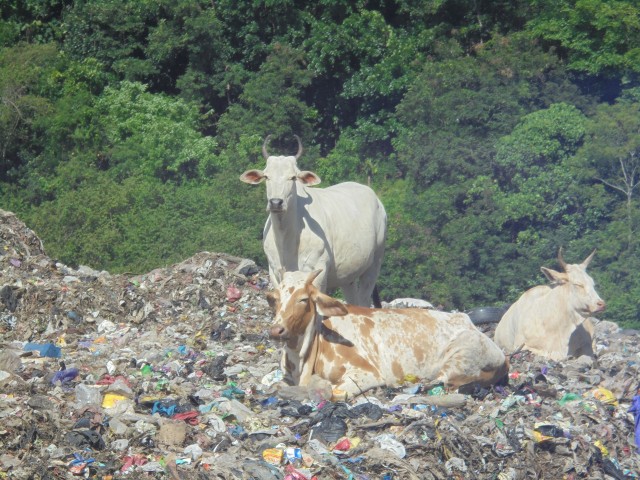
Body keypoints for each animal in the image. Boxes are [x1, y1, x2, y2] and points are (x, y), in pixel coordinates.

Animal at [239, 136, 384, 308]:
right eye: (267, 177)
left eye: (293, 177)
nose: (276, 202)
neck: (287, 240)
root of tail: (377, 201)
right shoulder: (275, 273)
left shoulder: (317, 273)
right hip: (348, 277)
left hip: (374, 263)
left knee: (364, 299)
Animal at [266, 270, 510, 398]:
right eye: (275, 299)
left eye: (303, 299)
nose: (276, 330)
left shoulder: (366, 373)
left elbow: (334, 392)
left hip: (462, 357)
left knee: (440, 380)